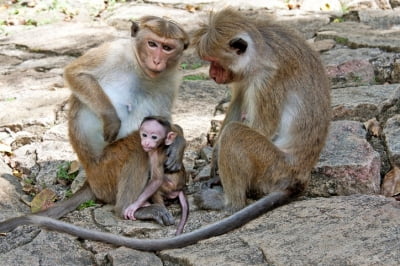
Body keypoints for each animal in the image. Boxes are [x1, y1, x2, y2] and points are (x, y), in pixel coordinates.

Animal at [0, 7, 330, 249]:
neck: (261, 48)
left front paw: (192, 148)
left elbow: (262, 125)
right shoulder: (116, 51)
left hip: (273, 166)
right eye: (152, 44)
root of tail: (299, 175)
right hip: (105, 172)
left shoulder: (266, 78)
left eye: (214, 62)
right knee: (139, 148)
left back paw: (227, 203)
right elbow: (75, 72)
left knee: (236, 136)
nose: (212, 74)